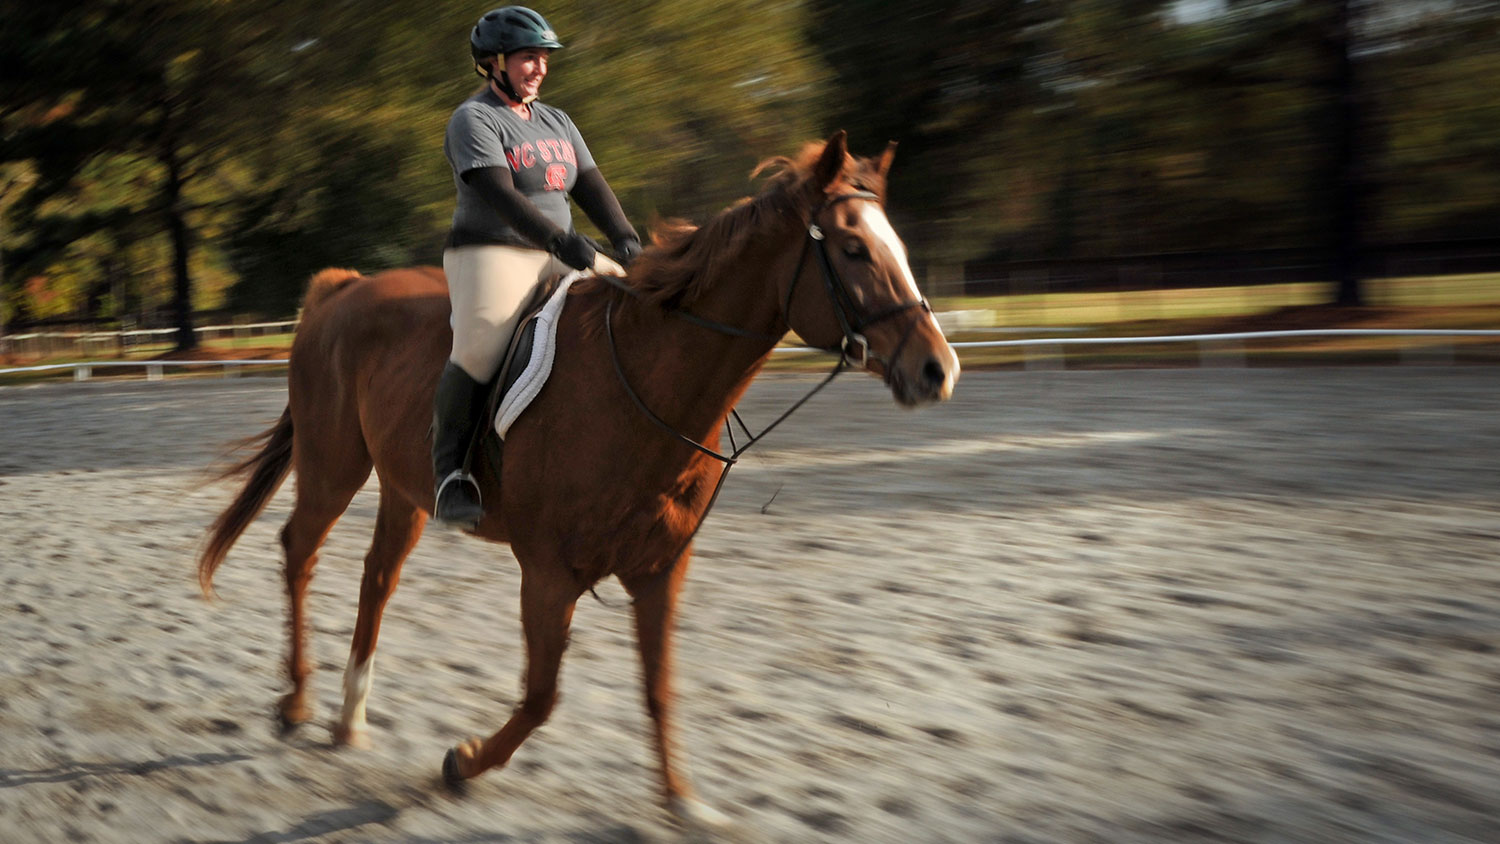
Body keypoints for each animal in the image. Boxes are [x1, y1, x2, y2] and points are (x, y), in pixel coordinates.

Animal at [196, 131, 960, 827]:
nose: (937, 370)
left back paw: (349, 717)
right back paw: (297, 704)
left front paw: (684, 804)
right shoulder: (548, 572)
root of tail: (344, 287)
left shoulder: (659, 569)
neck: (647, 386)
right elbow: (541, 696)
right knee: (300, 550)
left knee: (376, 578)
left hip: (404, 490)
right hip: (334, 465)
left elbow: (659, 687)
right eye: (854, 249)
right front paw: (461, 762)